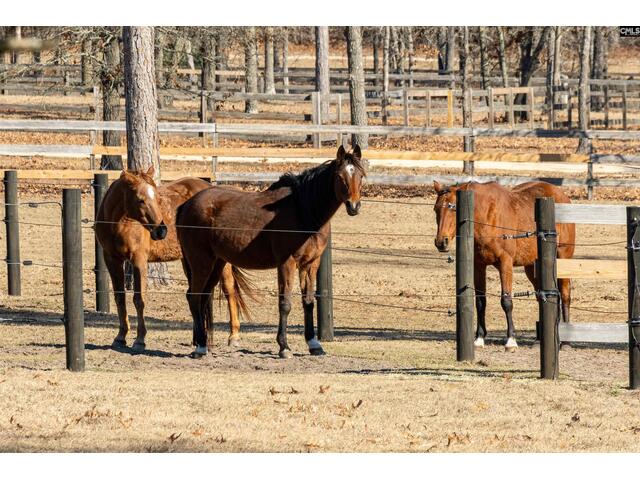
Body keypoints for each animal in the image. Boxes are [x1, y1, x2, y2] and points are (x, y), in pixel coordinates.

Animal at [95, 167, 250, 350]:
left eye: (157, 196)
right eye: (140, 200)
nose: (161, 230)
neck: (118, 223)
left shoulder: (139, 262)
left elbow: (139, 299)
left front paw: (140, 339)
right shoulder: (112, 260)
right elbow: (120, 298)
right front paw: (120, 337)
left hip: (219, 262)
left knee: (229, 291)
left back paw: (233, 336)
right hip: (190, 260)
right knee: (196, 293)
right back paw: (198, 339)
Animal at [176, 144, 364, 358]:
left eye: (360, 175)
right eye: (340, 176)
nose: (354, 206)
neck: (303, 211)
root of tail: (185, 205)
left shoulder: (310, 264)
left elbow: (308, 302)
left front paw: (314, 344)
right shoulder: (287, 263)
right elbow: (285, 303)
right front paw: (284, 347)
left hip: (216, 264)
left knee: (202, 297)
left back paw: (203, 344)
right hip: (201, 262)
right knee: (193, 297)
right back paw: (199, 347)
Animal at [436, 180, 576, 348]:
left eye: (454, 208)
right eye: (436, 209)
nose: (441, 242)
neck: (487, 216)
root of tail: (563, 196)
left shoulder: (505, 263)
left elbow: (506, 301)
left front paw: (510, 339)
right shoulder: (478, 266)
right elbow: (480, 301)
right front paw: (479, 338)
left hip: (563, 257)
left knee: (566, 295)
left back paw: (566, 341)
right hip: (532, 268)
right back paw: (541, 340)